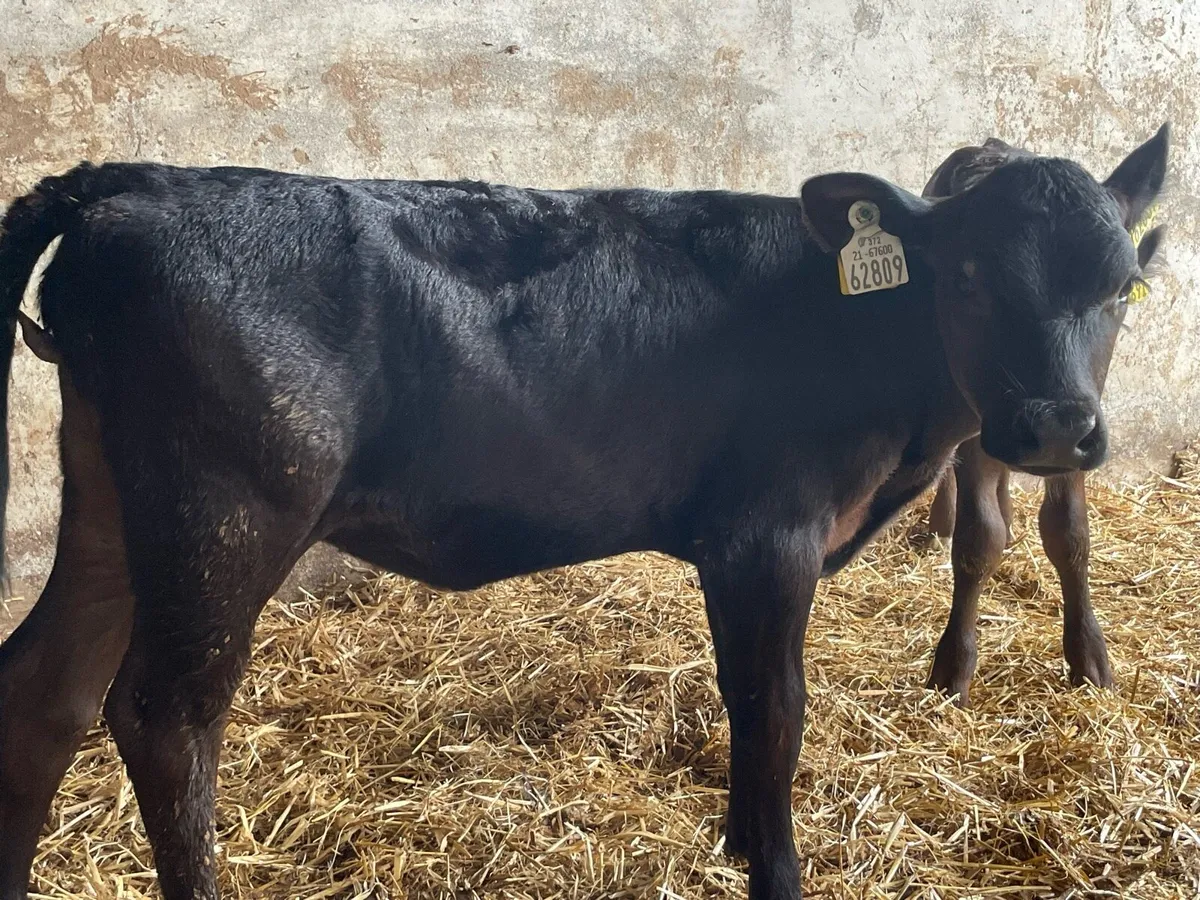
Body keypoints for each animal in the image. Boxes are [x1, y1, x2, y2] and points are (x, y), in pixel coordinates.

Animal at [917, 138, 1165, 708]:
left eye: (1125, 289)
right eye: (966, 280)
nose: (1051, 426)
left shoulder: (1083, 424)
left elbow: (1070, 535)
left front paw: (1090, 657)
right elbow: (978, 539)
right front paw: (953, 666)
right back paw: (944, 521)